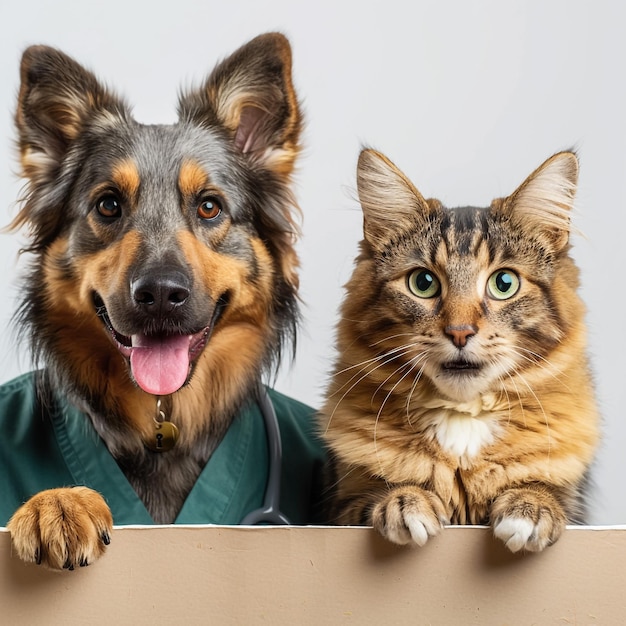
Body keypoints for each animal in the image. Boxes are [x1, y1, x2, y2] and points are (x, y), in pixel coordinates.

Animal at [320, 147, 596, 552]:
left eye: (504, 283)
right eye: (423, 282)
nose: (460, 333)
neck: (463, 415)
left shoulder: (577, 505)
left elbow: (543, 489)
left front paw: (528, 509)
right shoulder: (341, 506)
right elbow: (379, 495)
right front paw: (406, 502)